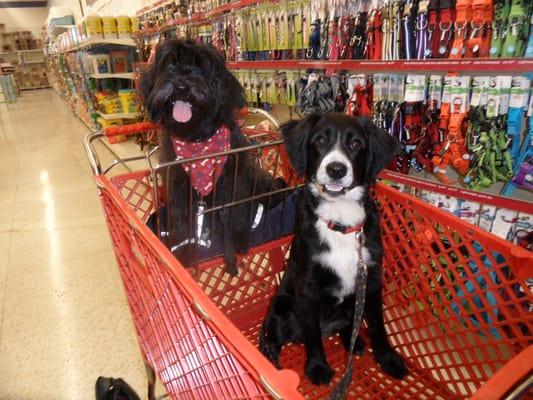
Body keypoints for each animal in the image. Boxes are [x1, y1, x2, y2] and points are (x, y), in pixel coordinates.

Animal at [139, 39, 284, 274]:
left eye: (200, 67)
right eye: (170, 64)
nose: (181, 86)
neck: (198, 140)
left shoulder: (235, 178)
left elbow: (237, 209)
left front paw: (238, 238)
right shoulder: (178, 184)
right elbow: (181, 218)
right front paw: (183, 249)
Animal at [258, 111, 408, 384]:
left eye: (356, 143)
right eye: (320, 140)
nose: (336, 169)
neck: (340, 221)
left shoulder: (371, 280)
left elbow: (378, 325)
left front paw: (388, 359)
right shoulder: (308, 287)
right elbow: (313, 334)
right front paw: (317, 367)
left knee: (349, 325)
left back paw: (354, 342)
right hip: (281, 305)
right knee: (272, 338)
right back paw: (271, 360)